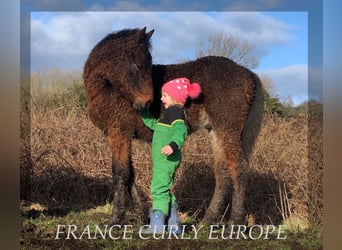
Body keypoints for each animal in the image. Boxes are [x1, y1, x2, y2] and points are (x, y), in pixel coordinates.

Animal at [83, 26, 264, 225]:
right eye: (138, 65)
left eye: (145, 64)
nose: (147, 103)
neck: (108, 89)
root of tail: (248, 73)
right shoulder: (119, 134)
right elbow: (130, 174)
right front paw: (142, 215)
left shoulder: (119, 132)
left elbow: (120, 173)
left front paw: (115, 219)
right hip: (216, 131)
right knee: (223, 172)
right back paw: (208, 220)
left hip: (228, 129)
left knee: (238, 169)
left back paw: (235, 222)